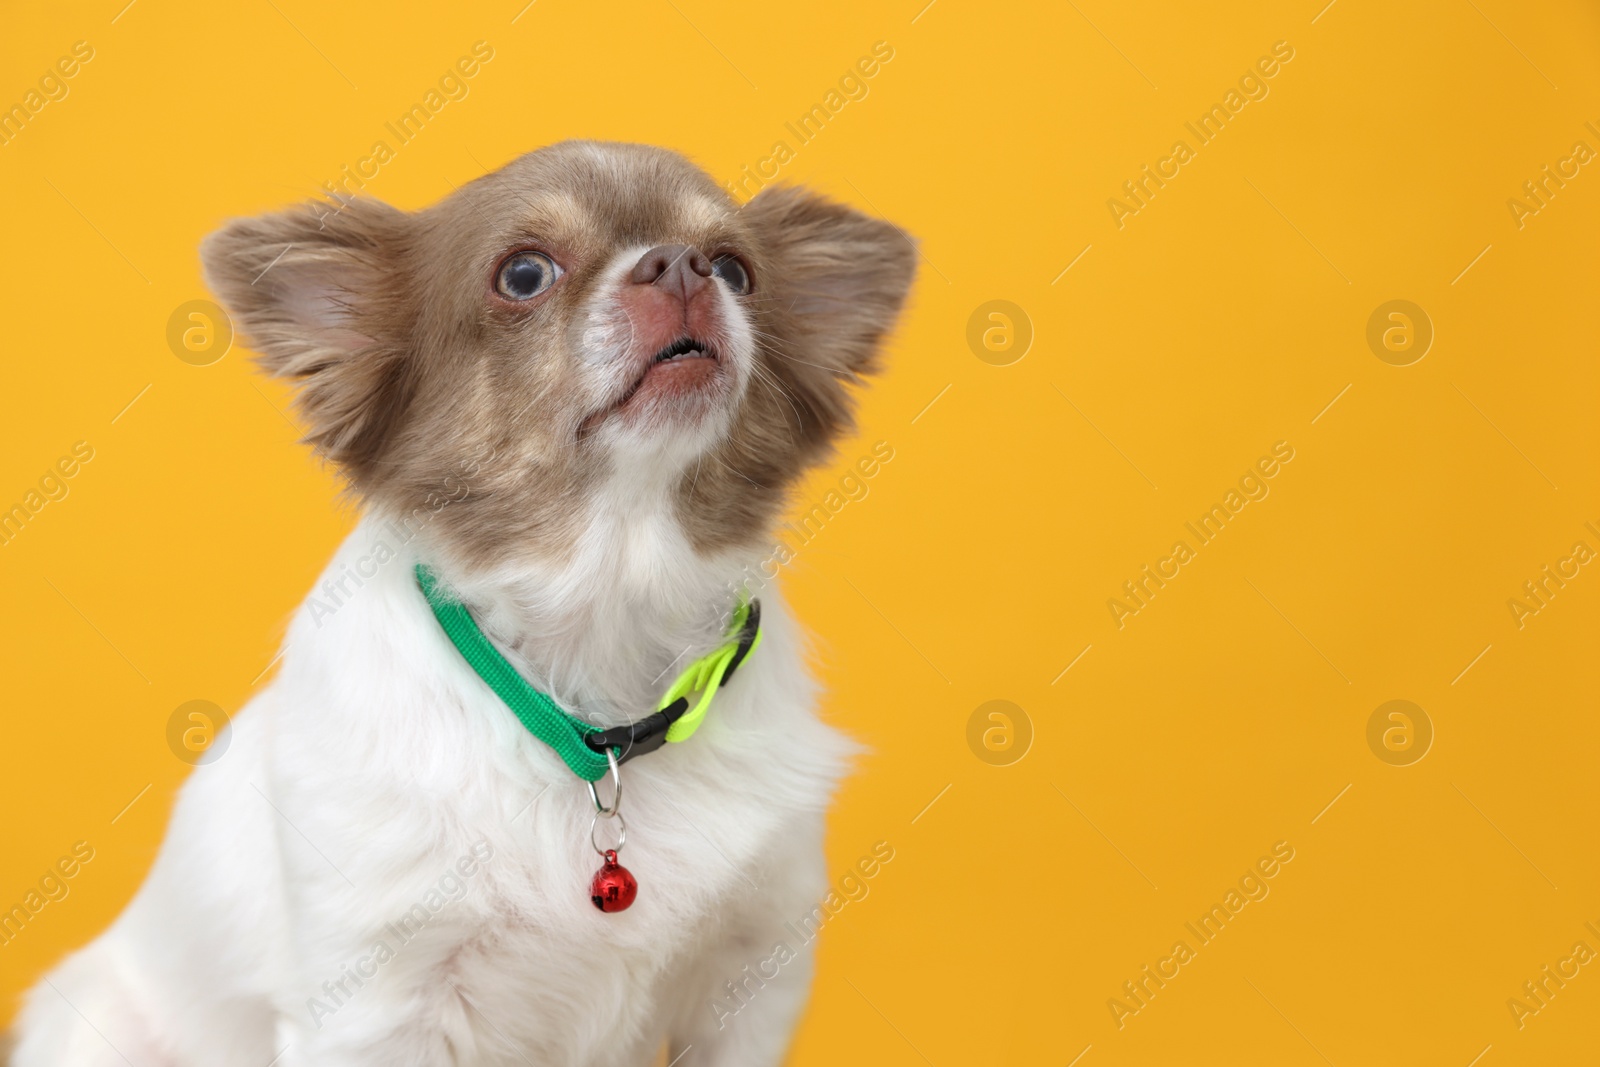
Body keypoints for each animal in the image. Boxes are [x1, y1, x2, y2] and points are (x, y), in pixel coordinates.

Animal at [9, 143, 915, 1067]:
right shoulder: (373, 1005)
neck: (603, 628)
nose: (681, 265)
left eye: (736, 268)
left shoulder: (751, 980)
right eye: (523, 274)